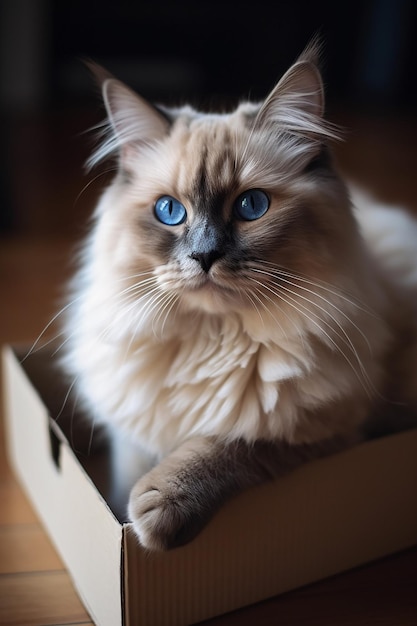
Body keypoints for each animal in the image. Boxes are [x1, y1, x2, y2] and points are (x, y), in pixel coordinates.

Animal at [60, 41, 416, 548]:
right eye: (169, 211)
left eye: (251, 206)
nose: (205, 255)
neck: (213, 337)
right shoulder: (129, 437)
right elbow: (128, 476)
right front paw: (126, 516)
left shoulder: (324, 432)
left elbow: (225, 444)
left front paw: (152, 519)